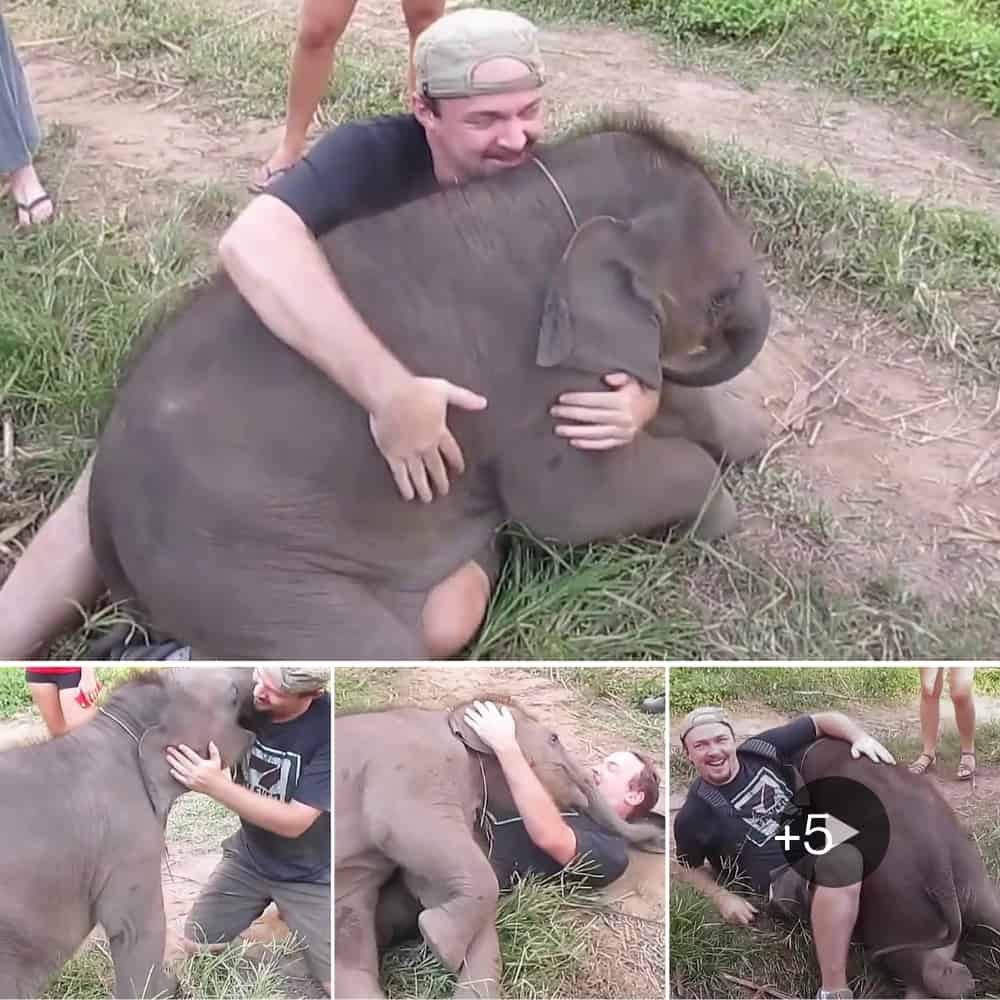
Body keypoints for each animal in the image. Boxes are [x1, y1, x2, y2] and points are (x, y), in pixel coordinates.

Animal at [334, 694, 665, 999]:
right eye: (554, 739)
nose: (659, 836)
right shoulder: (416, 772)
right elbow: (407, 835)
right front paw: (440, 943)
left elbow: (433, 883)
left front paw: (439, 943)